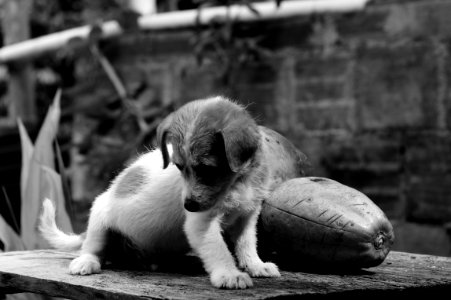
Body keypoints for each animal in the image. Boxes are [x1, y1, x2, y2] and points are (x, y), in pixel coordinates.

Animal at [39, 95, 308, 288]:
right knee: (93, 247)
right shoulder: (200, 224)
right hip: (99, 218)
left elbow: (246, 244)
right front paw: (229, 274)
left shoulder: (247, 215)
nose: (187, 205)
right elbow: (220, 249)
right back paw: (86, 262)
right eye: (178, 167)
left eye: (206, 169)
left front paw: (256, 266)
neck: (238, 182)